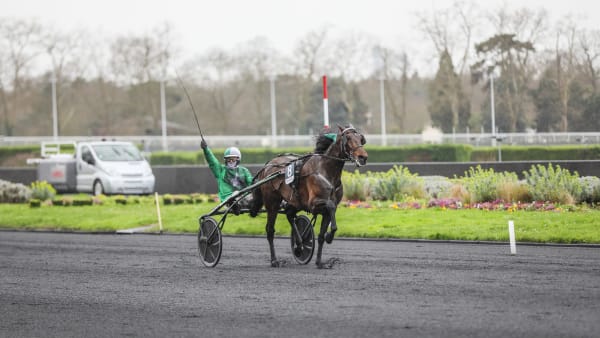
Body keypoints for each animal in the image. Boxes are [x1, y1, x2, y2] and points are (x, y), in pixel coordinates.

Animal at [250, 125, 370, 270]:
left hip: (295, 202)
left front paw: (320, 262)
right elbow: (330, 206)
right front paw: (329, 236)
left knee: (289, 214)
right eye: (348, 138)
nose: (363, 157)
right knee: (270, 230)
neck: (326, 171)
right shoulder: (313, 204)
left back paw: (299, 245)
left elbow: (322, 235)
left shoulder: (326, 211)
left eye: (361, 138)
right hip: (272, 203)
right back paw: (275, 261)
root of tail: (268, 166)